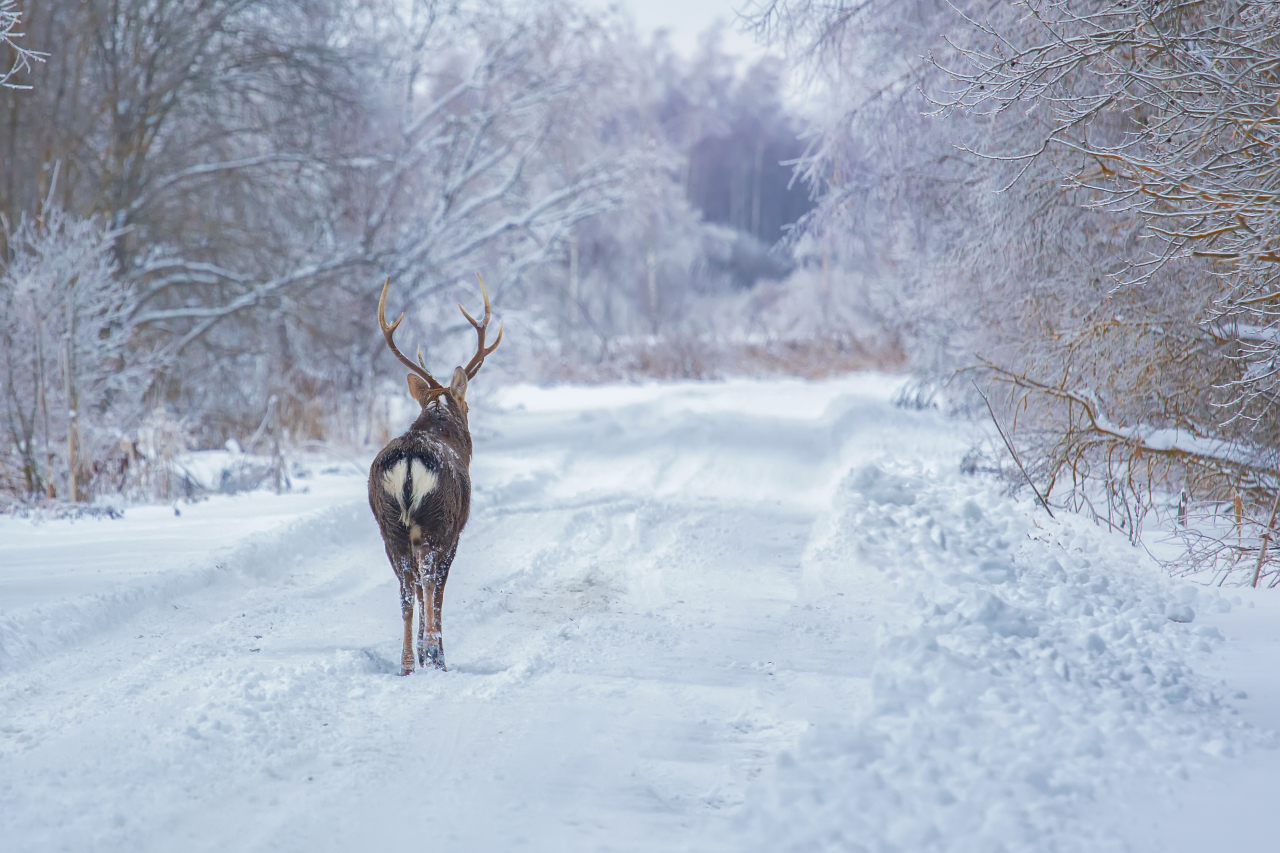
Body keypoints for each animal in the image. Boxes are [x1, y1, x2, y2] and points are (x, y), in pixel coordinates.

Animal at [368, 275, 501, 676]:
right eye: (467, 405)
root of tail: (410, 461)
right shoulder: (455, 531)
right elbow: (439, 589)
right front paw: (436, 652)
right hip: (437, 519)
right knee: (428, 580)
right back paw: (430, 655)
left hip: (390, 526)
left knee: (405, 588)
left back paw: (407, 664)